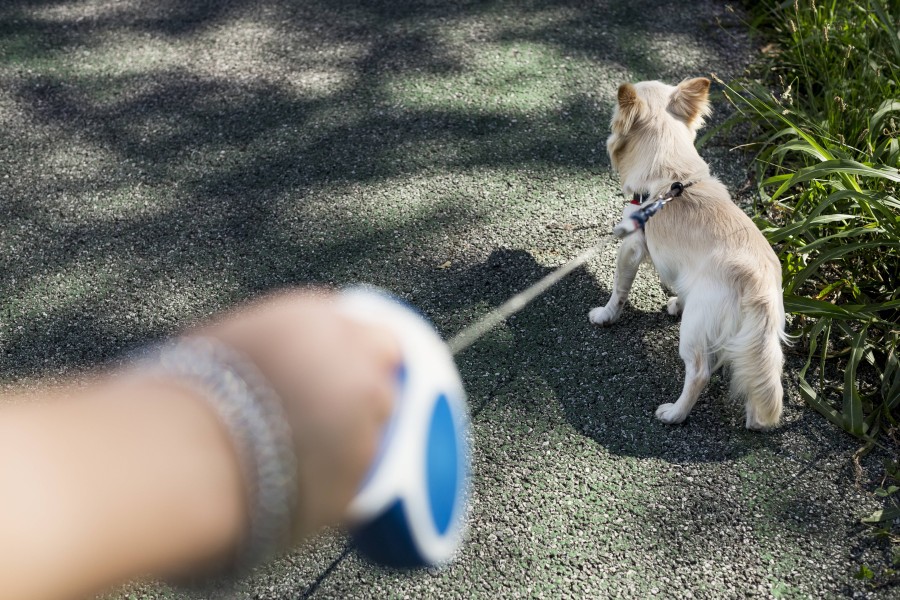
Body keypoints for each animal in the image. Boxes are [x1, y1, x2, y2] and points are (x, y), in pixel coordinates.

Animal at [588, 77, 784, 428]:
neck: (672, 175)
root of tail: (758, 284)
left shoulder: (632, 245)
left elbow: (619, 290)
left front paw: (606, 316)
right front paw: (677, 301)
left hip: (694, 329)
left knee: (699, 372)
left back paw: (674, 414)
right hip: (760, 339)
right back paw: (754, 420)